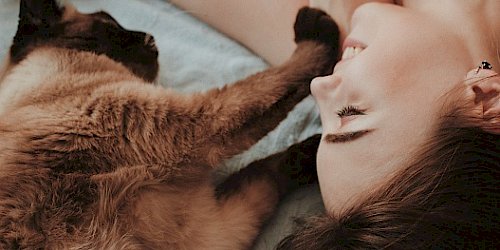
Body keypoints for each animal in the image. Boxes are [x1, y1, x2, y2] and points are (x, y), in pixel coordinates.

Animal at [0, 0, 340, 249]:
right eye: (111, 24)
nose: (151, 39)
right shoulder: (193, 121)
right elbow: (280, 80)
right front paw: (318, 26)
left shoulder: (216, 229)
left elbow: (266, 171)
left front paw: (314, 153)